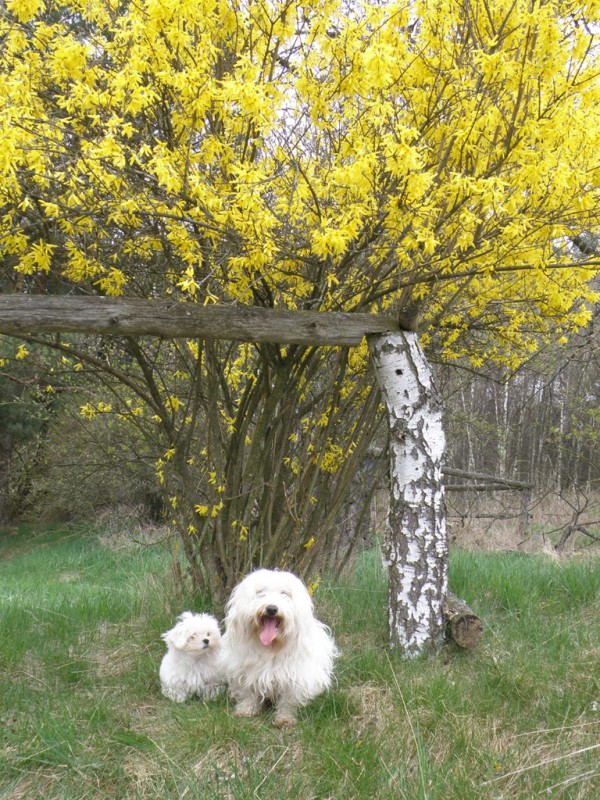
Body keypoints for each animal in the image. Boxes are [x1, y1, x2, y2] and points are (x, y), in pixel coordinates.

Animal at [221, 568, 338, 727]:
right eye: (260, 592)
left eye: (285, 594)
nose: (271, 608)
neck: (272, 647)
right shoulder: (244, 671)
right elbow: (248, 693)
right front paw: (246, 710)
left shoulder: (294, 677)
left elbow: (288, 701)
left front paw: (284, 718)